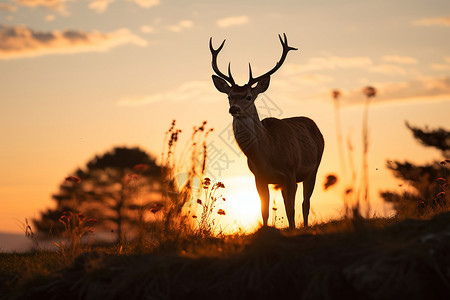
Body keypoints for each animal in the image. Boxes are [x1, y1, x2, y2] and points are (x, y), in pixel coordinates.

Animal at [210, 34, 324, 229]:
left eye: (249, 96)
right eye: (229, 96)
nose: (234, 109)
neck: (267, 154)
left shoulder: (290, 172)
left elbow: (290, 210)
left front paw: (292, 230)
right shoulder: (259, 178)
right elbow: (264, 211)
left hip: (314, 168)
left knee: (305, 203)